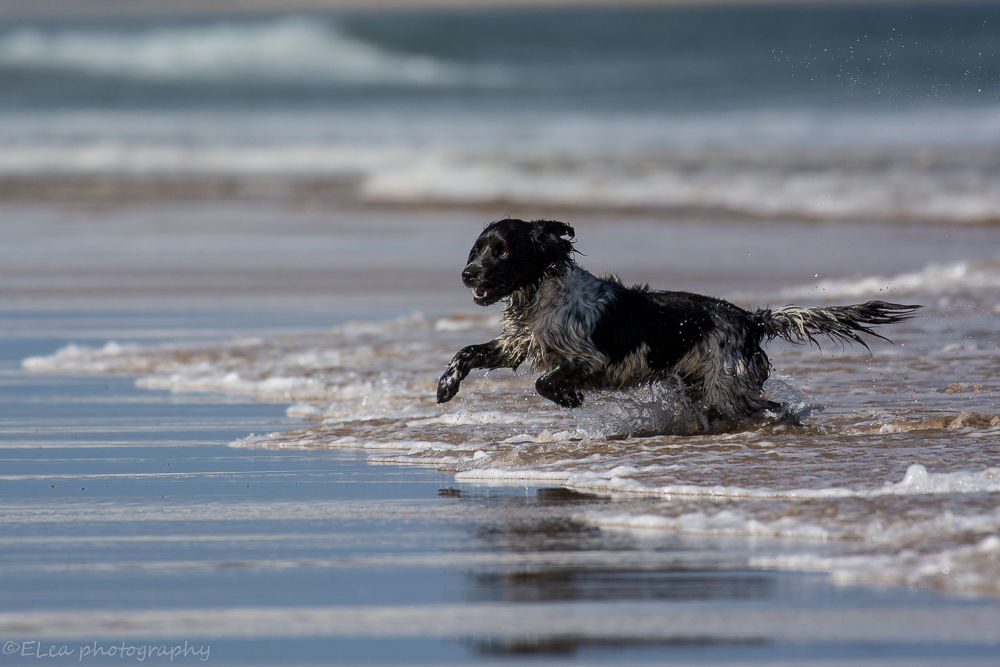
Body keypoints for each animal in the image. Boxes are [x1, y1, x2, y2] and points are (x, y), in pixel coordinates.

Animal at [437, 218, 919, 424]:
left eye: (502, 251)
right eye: (476, 249)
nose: (467, 274)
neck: (538, 295)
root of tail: (751, 319)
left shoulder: (589, 357)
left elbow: (545, 381)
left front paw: (570, 399)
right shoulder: (519, 344)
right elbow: (467, 352)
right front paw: (445, 386)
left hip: (728, 388)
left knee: (771, 408)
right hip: (704, 386)